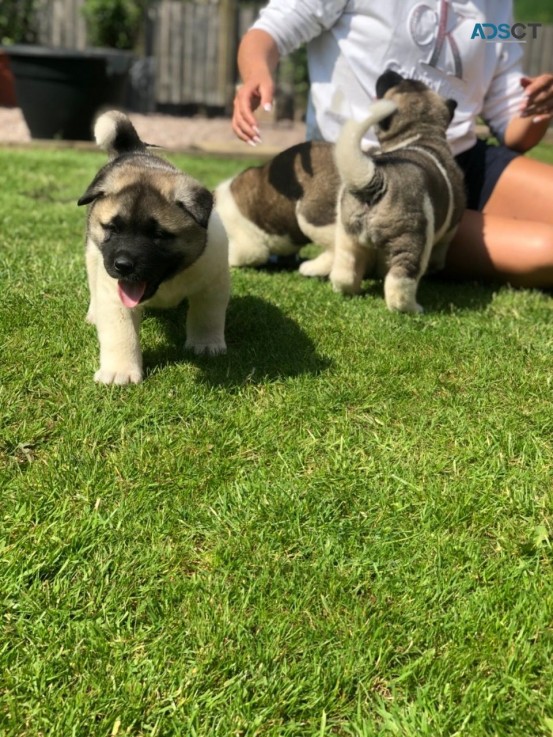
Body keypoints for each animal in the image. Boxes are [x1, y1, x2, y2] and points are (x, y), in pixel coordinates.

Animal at [78, 112, 229, 386]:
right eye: (112, 229)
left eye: (159, 236)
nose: (122, 265)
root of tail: (133, 149)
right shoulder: (115, 296)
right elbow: (121, 334)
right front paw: (120, 371)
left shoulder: (212, 285)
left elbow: (207, 316)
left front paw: (206, 345)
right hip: (93, 256)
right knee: (94, 284)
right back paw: (94, 313)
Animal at [328, 69, 466, 310]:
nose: (389, 72)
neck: (420, 131)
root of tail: (375, 180)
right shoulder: (451, 226)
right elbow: (443, 245)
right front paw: (437, 266)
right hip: (411, 241)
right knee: (400, 281)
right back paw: (412, 308)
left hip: (347, 235)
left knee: (345, 273)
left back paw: (347, 289)